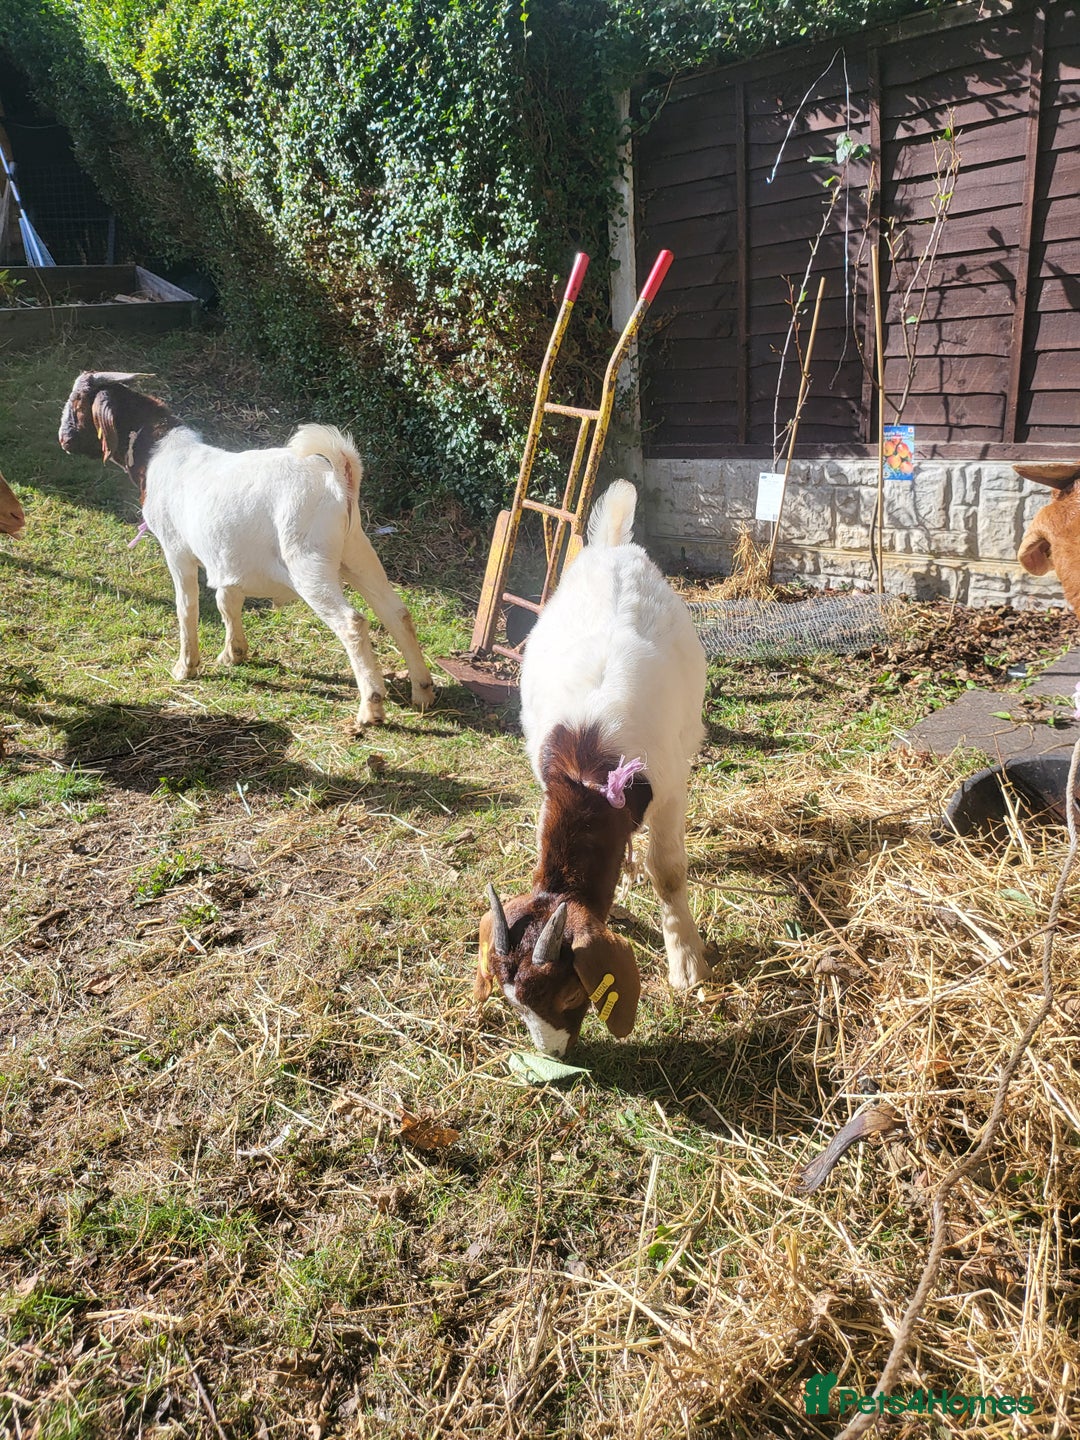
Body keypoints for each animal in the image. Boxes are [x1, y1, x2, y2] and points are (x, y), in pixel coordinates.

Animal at [58, 371, 435, 724]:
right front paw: (233, 654)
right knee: (396, 612)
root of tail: (338, 479)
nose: (63, 439)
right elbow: (227, 601)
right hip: (356, 551)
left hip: (308, 563)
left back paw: (371, 709)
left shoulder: (177, 549)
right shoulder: (227, 558)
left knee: (352, 623)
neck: (158, 453)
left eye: (77, 403)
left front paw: (185, 667)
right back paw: (422, 691)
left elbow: (187, 607)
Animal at [475, 479, 709, 1055]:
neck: (587, 778)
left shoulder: (670, 785)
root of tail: (611, 548)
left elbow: (668, 870)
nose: (552, 1054)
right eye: (513, 1004)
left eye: (567, 994)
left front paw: (687, 962)